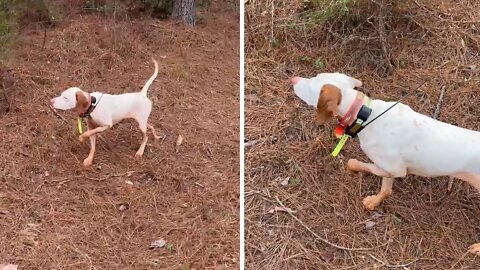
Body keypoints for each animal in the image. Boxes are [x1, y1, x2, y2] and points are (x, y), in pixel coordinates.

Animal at [290, 73, 480, 255]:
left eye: (311, 83)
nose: (293, 79)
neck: (367, 116)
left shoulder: (394, 168)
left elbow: (363, 165)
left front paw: (355, 167)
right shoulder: (390, 171)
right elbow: (386, 190)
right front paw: (375, 202)